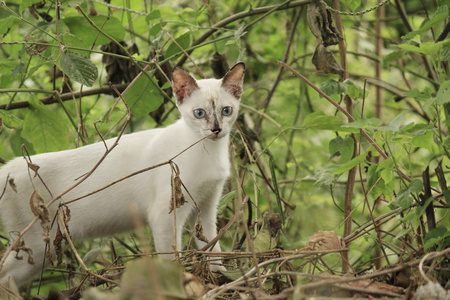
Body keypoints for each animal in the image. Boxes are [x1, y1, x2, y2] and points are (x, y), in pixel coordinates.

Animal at [0, 62, 244, 286]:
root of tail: (7, 168)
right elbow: (171, 259)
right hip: (36, 246)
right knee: (5, 276)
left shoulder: (206, 206)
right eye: (199, 113)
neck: (209, 151)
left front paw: (221, 277)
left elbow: (212, 247)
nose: (215, 130)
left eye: (226, 110)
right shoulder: (164, 215)